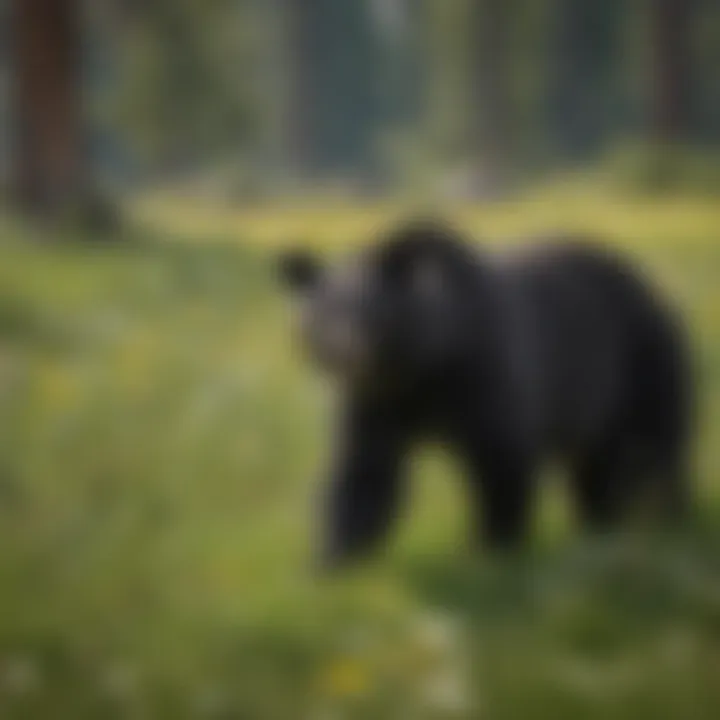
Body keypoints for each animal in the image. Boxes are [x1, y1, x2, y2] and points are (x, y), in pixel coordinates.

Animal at [278, 219, 692, 568]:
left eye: (370, 312)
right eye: (322, 315)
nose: (346, 355)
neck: (423, 368)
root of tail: (653, 287)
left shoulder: (482, 374)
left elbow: (499, 457)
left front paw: (493, 546)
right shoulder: (378, 404)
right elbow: (363, 468)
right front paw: (334, 556)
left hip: (641, 358)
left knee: (655, 446)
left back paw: (665, 515)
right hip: (602, 401)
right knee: (598, 464)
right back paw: (600, 522)